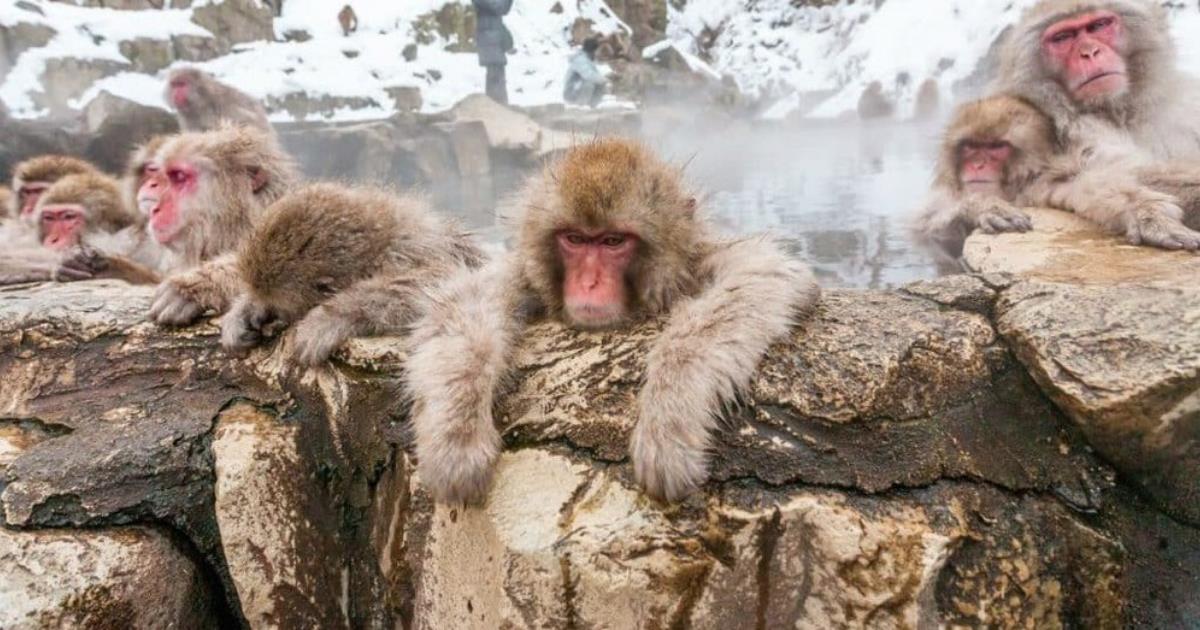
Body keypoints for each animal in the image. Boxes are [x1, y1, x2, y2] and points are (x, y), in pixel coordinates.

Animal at [219, 183, 484, 365]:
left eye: (280, 308)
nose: (267, 311)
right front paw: (246, 311)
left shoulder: (408, 254)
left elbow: (435, 279)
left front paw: (328, 319)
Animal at [405, 138, 821, 505]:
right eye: (575, 239)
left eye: (612, 242)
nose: (589, 283)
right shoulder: (525, 275)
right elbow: (466, 303)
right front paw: (457, 438)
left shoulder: (698, 262)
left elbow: (762, 273)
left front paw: (667, 423)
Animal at [994, 0, 1200, 250]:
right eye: (1063, 37)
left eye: (1099, 25)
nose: (1090, 52)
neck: (1119, 112)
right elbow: (1070, 181)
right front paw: (1148, 214)